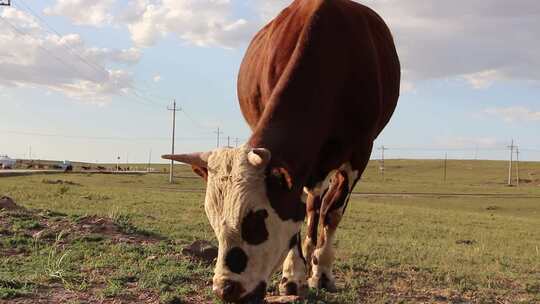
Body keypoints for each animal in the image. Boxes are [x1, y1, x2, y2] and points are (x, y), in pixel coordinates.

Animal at [162, 0, 398, 302]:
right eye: (212, 220)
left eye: (256, 218)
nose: (224, 290)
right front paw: (293, 275)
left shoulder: (360, 151)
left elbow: (332, 213)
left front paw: (321, 273)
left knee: (320, 208)